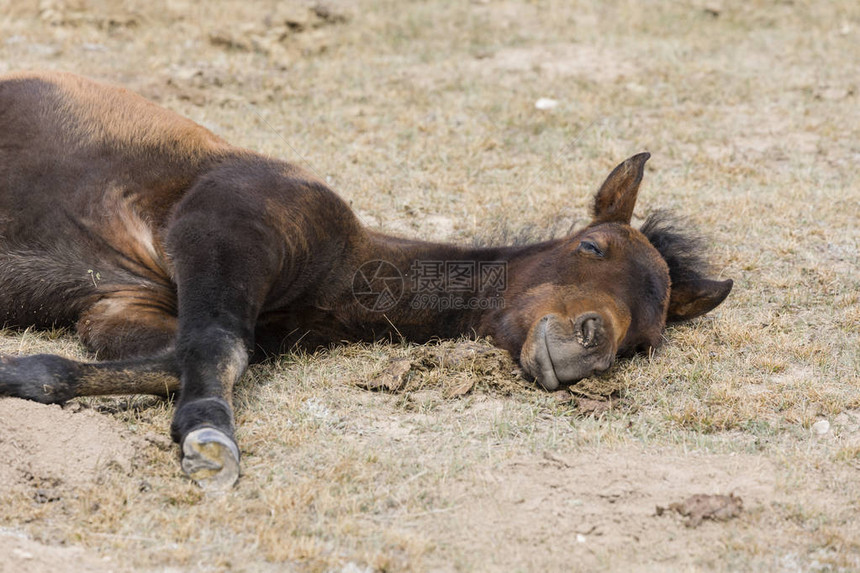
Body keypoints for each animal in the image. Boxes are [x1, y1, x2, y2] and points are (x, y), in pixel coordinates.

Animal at [0, 71, 732, 492]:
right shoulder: (219, 227)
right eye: (591, 244)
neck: (341, 271)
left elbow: (174, 356)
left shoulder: (118, 304)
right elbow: (216, 348)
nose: (589, 345)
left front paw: (21, 373)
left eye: (644, 341)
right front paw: (210, 442)